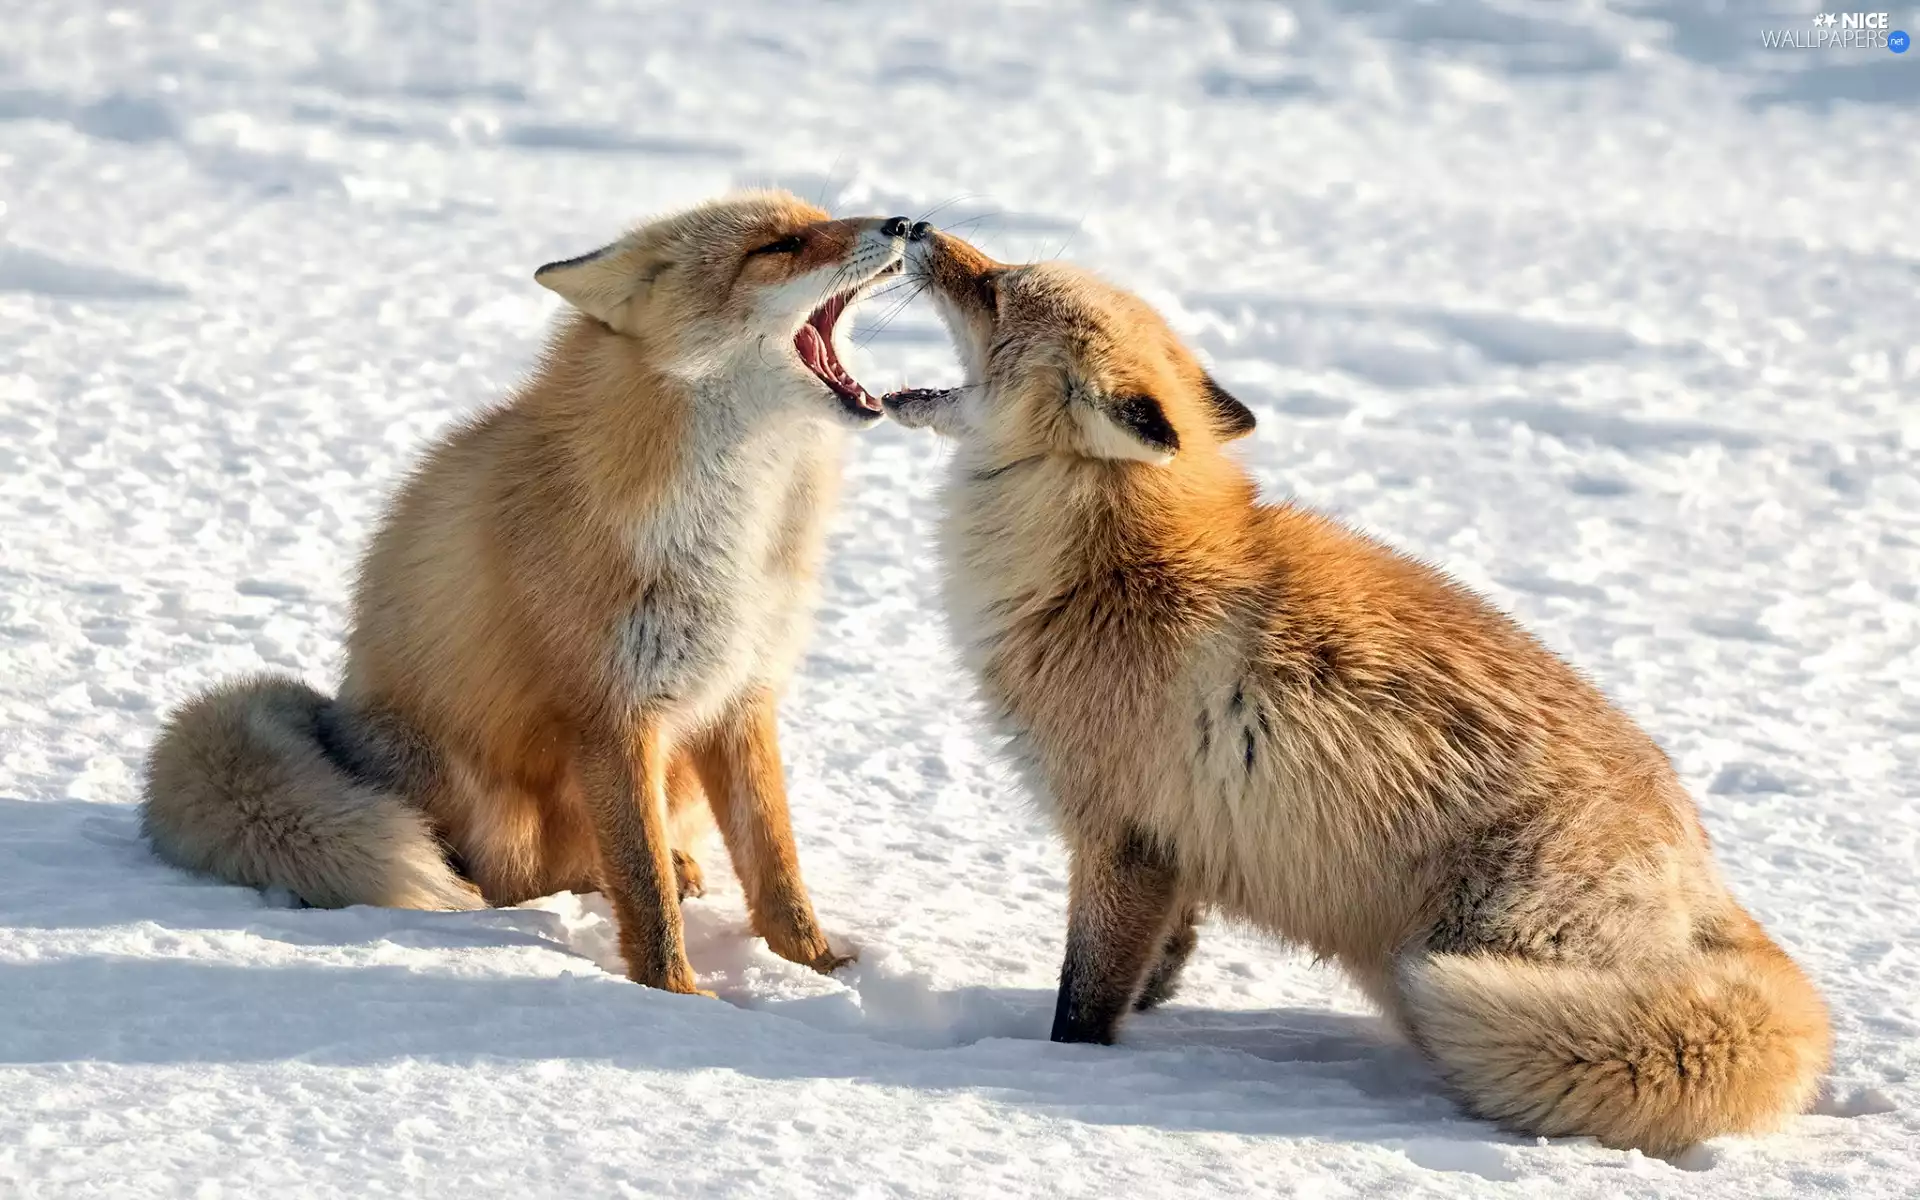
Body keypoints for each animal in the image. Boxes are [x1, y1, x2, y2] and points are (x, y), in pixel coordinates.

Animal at [142, 190, 923, 994]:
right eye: (780, 246)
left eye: (821, 217)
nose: (907, 224)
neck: (741, 536)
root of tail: (337, 718)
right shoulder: (611, 710)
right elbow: (642, 886)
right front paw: (676, 995)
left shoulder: (743, 695)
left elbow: (776, 866)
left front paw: (820, 968)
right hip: (476, 788)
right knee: (517, 878)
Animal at [879, 230, 1831, 1155]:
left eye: (997, 289)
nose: (910, 226)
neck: (1106, 564)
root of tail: (1700, 857)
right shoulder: (1173, 852)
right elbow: (1157, 968)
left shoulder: (1122, 836)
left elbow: (1082, 1003)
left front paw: (1062, 1074)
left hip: (1478, 947)